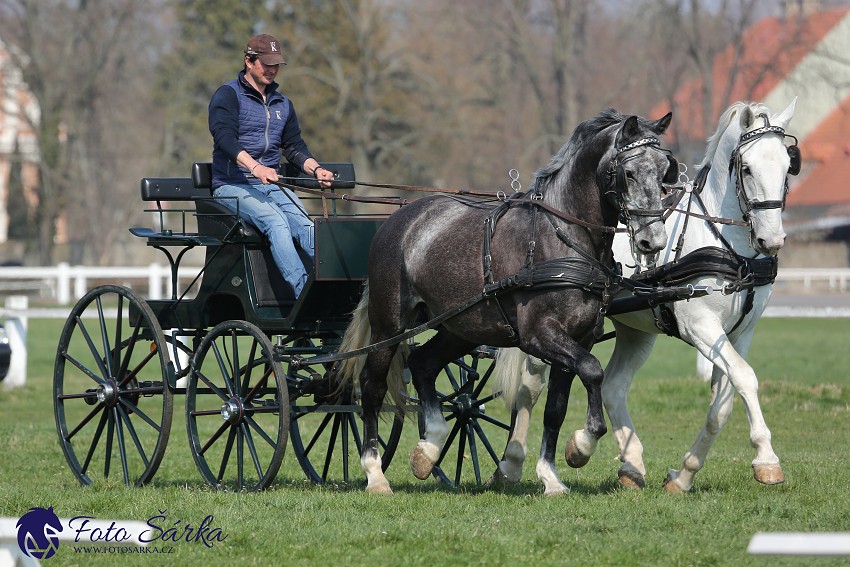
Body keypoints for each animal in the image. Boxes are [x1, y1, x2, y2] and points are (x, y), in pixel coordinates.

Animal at [334, 110, 672, 492]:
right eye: (629, 172)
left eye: (665, 171)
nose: (653, 241)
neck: (563, 237)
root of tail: (399, 219)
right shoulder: (539, 335)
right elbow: (592, 370)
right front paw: (582, 446)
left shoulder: (579, 337)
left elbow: (556, 407)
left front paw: (551, 474)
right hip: (389, 326)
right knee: (372, 388)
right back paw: (375, 473)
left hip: (460, 327)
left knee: (422, 364)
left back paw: (430, 447)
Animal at [486, 100, 800, 494]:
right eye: (746, 168)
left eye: (788, 165)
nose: (771, 239)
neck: (726, 245)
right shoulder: (701, 327)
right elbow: (746, 378)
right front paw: (767, 459)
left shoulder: (740, 334)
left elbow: (722, 404)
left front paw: (684, 474)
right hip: (551, 326)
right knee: (530, 389)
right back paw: (511, 465)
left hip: (636, 330)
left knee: (613, 386)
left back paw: (630, 463)